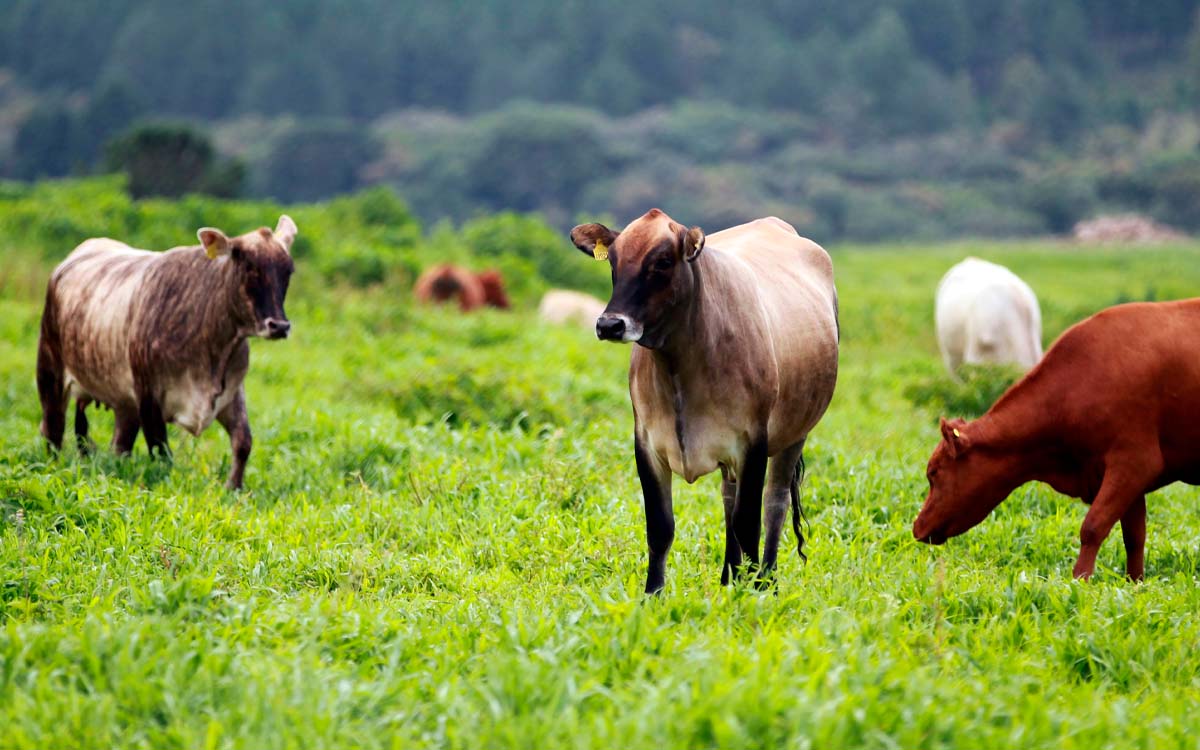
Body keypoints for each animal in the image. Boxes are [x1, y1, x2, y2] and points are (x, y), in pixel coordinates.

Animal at [38, 214, 297, 492]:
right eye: (250, 268)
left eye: (288, 271)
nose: (279, 326)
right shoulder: (148, 397)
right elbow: (161, 452)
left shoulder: (233, 392)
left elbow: (243, 443)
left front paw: (233, 489)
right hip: (50, 374)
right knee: (52, 431)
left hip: (124, 404)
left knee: (120, 446)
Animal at [568, 206, 835, 590]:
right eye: (614, 261)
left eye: (663, 261)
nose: (610, 325)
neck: (678, 366)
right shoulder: (647, 444)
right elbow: (661, 528)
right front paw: (653, 594)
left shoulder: (753, 443)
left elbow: (748, 524)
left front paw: (752, 595)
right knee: (728, 501)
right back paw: (729, 578)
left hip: (794, 435)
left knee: (775, 504)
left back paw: (766, 580)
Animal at [912, 298, 1200, 578]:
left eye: (933, 473)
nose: (917, 526)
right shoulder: (1131, 479)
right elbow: (1134, 538)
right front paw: (1135, 583)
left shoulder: (1135, 463)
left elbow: (1093, 526)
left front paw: (1080, 579)